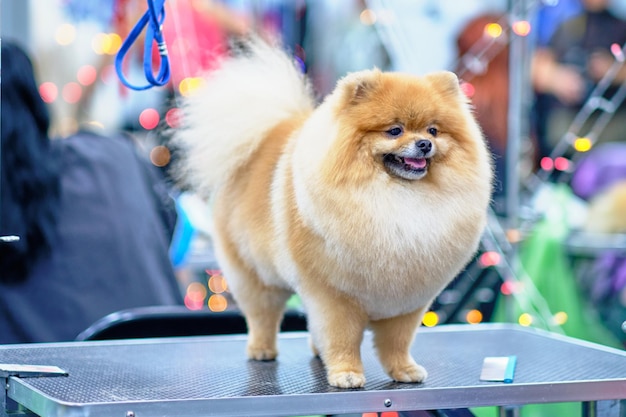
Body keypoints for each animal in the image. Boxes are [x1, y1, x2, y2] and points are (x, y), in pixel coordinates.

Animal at [172, 39, 492, 386]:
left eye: (433, 130)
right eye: (394, 131)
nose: (423, 144)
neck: (398, 199)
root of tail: (267, 133)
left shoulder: (406, 302)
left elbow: (397, 342)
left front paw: (404, 370)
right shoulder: (335, 297)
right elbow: (342, 338)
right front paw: (346, 373)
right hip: (254, 275)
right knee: (262, 315)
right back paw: (261, 349)